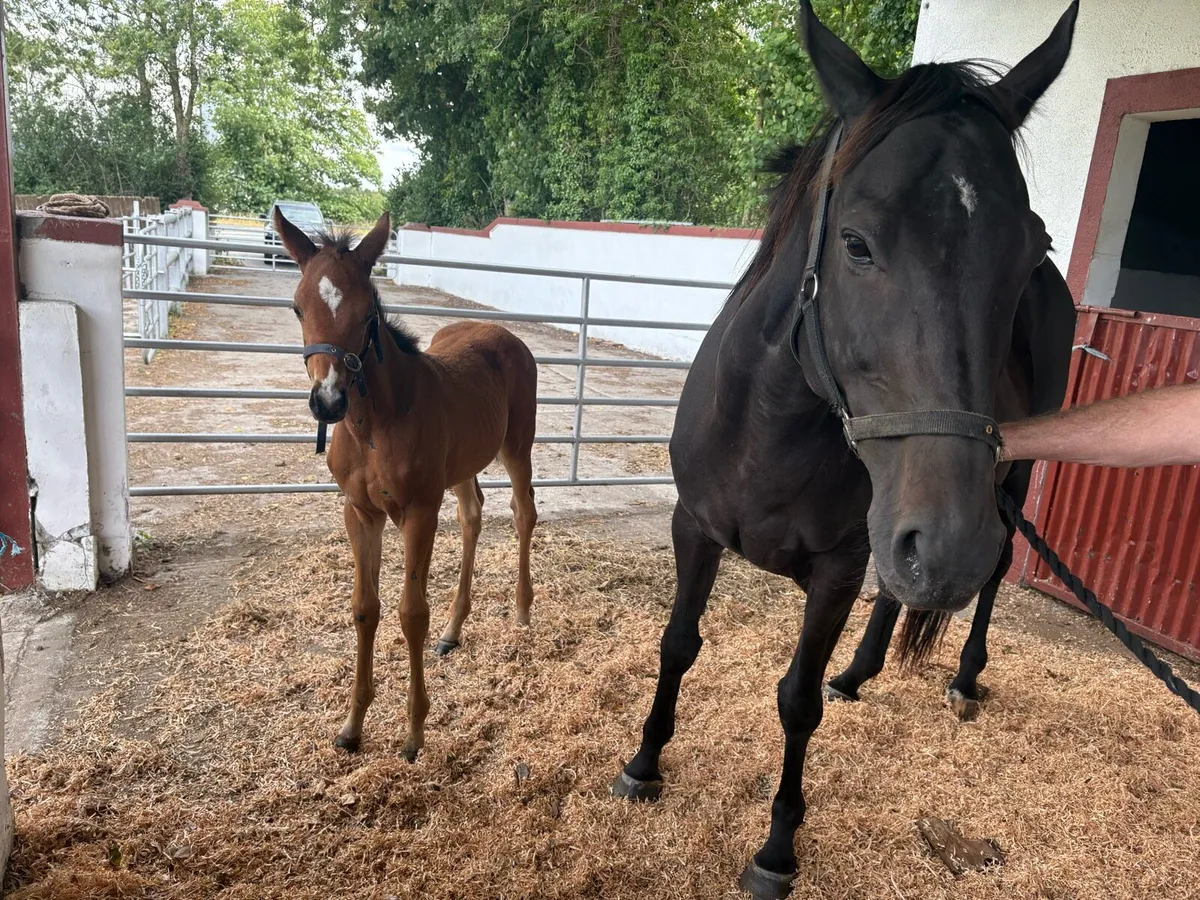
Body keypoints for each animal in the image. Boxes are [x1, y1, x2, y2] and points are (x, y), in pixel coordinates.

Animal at [274, 210, 539, 762]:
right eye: (297, 307)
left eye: (367, 314)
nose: (327, 401)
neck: (376, 424)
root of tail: (500, 330)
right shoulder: (360, 511)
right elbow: (365, 608)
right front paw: (352, 725)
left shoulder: (419, 510)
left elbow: (411, 612)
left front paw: (415, 732)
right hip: (461, 468)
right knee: (472, 515)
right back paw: (454, 631)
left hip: (516, 446)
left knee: (524, 512)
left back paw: (523, 610)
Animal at [610, 2, 1079, 897]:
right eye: (856, 242)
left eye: (1031, 248)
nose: (952, 547)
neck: (771, 427)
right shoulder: (696, 528)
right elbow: (678, 645)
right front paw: (644, 763)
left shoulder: (839, 568)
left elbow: (797, 701)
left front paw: (776, 849)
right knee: (904, 589)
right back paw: (862, 670)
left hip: (1005, 482)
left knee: (995, 569)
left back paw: (964, 676)